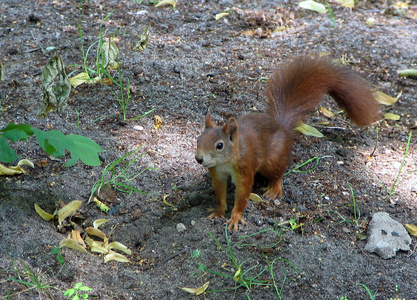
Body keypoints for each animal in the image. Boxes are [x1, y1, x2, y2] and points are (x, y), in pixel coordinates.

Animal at [195, 55, 380, 231]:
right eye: (198, 139)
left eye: (219, 145)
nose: (199, 159)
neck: (228, 159)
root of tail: (282, 127)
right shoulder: (217, 173)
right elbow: (220, 194)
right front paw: (219, 211)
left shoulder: (245, 168)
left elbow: (242, 195)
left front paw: (235, 218)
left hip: (272, 160)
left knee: (279, 172)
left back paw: (274, 189)